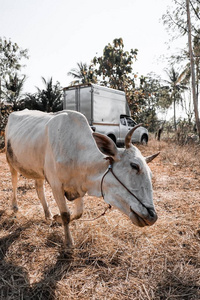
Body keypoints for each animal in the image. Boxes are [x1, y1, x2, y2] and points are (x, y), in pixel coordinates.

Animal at [5, 109, 159, 247]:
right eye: (134, 166)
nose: (152, 216)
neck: (76, 152)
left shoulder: (78, 187)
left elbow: (78, 213)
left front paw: (56, 218)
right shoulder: (56, 186)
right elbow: (66, 214)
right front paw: (68, 242)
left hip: (39, 171)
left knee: (39, 188)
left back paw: (48, 214)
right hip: (10, 162)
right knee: (14, 182)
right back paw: (15, 206)